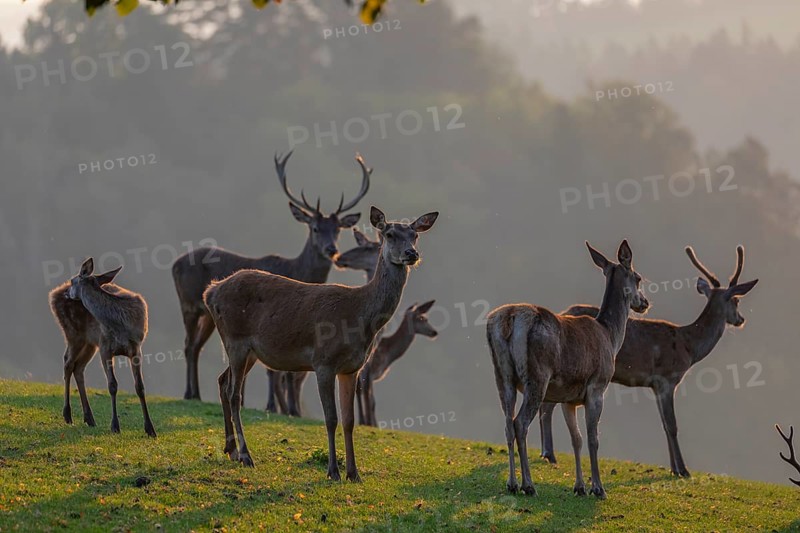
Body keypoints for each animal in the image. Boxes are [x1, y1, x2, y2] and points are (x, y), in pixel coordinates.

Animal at [49, 258, 156, 437]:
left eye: (72, 280)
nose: (67, 293)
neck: (120, 325)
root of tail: (53, 294)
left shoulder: (136, 348)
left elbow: (140, 386)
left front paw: (150, 429)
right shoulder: (105, 347)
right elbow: (112, 385)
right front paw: (115, 426)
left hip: (89, 343)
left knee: (78, 367)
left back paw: (89, 418)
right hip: (74, 334)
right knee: (68, 363)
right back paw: (68, 415)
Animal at [171, 151, 370, 400]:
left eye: (338, 229)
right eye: (315, 228)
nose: (331, 249)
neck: (298, 271)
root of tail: (174, 264)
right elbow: (274, 370)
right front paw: (273, 405)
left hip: (207, 315)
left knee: (197, 346)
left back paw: (196, 393)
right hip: (187, 303)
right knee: (189, 345)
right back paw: (190, 393)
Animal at [204, 207, 438, 480]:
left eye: (415, 235)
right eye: (389, 234)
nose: (411, 254)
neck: (360, 317)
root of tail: (211, 292)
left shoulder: (352, 368)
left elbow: (349, 420)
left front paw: (354, 473)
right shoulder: (323, 362)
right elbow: (331, 418)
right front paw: (333, 471)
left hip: (248, 351)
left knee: (222, 382)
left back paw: (230, 450)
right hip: (235, 340)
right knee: (234, 393)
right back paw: (245, 455)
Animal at [486, 241, 649, 498]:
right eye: (638, 277)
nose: (644, 303)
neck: (610, 336)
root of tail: (509, 319)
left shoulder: (568, 398)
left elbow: (577, 439)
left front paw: (580, 487)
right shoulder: (597, 387)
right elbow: (593, 438)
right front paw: (598, 488)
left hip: (501, 375)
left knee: (507, 423)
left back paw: (512, 483)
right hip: (537, 377)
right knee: (520, 423)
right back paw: (528, 485)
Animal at [538, 245, 758, 477]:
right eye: (736, 300)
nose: (741, 319)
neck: (689, 347)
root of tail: (562, 312)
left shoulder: (654, 385)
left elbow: (664, 425)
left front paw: (673, 468)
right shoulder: (666, 379)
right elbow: (672, 425)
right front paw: (683, 470)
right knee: (546, 406)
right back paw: (548, 453)